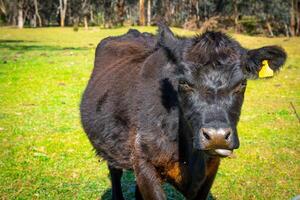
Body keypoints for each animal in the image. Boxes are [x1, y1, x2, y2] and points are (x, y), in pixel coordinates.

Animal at [79, 23, 286, 200]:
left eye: (242, 83)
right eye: (184, 82)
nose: (217, 136)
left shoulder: (210, 170)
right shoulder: (144, 164)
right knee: (115, 172)